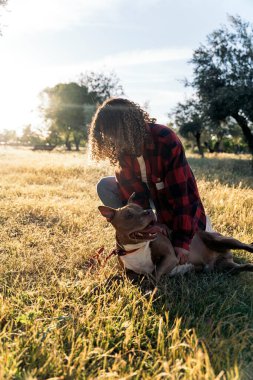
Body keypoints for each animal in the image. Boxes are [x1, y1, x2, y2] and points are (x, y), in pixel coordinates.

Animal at [98, 194, 253, 280]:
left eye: (141, 208)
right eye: (129, 215)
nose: (149, 211)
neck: (135, 249)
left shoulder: (170, 257)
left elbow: (155, 274)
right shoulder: (128, 273)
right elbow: (115, 277)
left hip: (218, 240)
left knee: (244, 245)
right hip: (224, 268)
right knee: (244, 267)